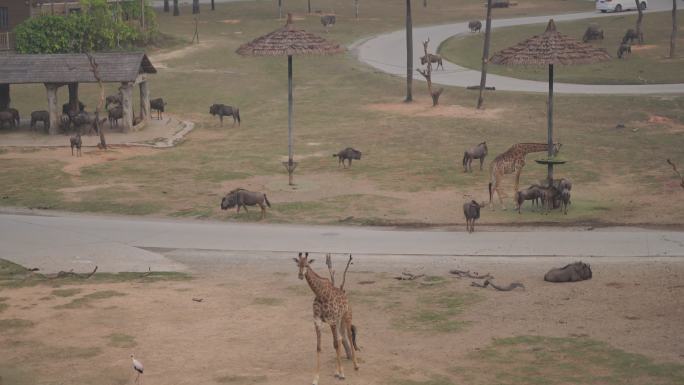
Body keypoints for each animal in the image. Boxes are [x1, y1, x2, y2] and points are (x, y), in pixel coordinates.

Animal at [292, 250, 360, 382]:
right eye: (298, 265)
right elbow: (319, 347)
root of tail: (346, 296)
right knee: (340, 339)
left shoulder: (331, 320)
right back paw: (337, 371)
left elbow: (335, 344)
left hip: (346, 316)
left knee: (348, 336)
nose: (300, 275)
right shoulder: (318, 321)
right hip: (338, 320)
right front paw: (316, 378)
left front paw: (342, 374)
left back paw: (355, 365)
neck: (319, 293)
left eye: (307, 265)